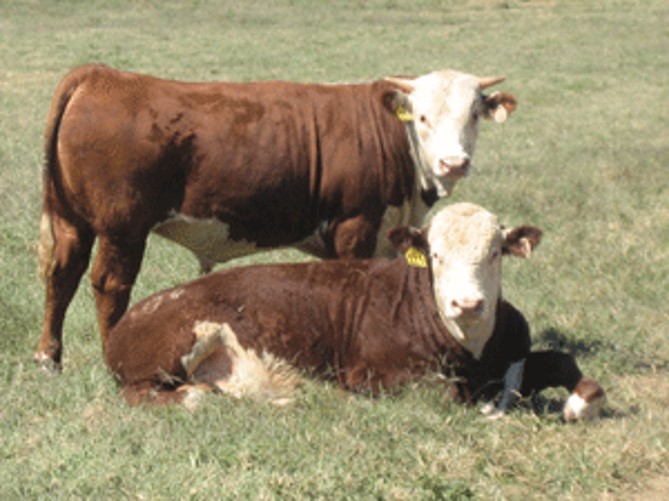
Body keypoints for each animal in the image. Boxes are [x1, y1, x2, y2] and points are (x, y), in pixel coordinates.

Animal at [36, 63, 516, 368]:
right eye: (421, 116)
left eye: (474, 115)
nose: (453, 163)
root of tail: (99, 75)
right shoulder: (355, 224)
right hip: (123, 227)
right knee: (109, 285)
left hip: (69, 219)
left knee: (62, 274)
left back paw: (49, 357)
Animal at [104, 201, 604, 420]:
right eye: (435, 255)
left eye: (496, 252)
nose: (467, 303)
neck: (470, 350)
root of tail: (128, 319)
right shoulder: (375, 374)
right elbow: (449, 394)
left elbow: (563, 362)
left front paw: (580, 402)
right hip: (174, 345)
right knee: (152, 393)